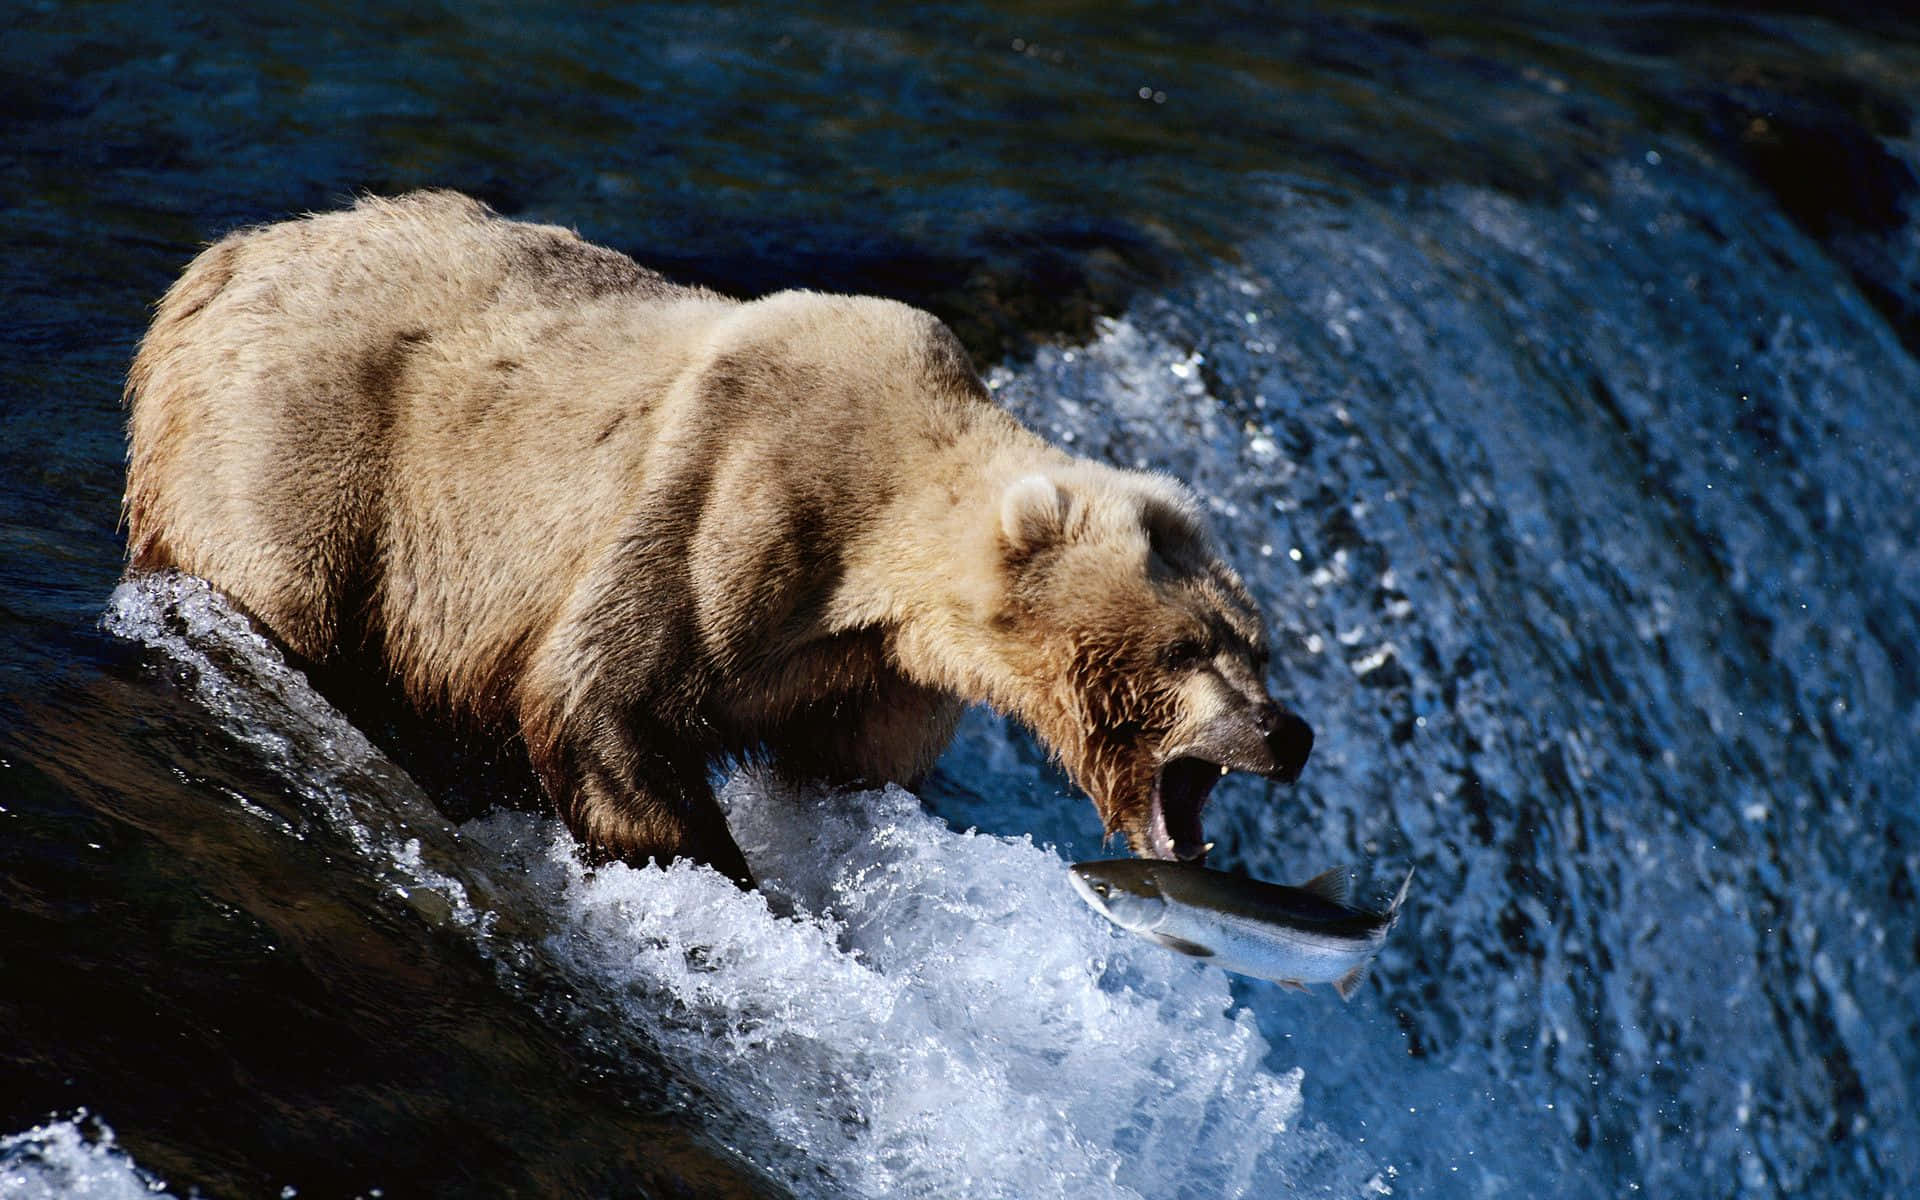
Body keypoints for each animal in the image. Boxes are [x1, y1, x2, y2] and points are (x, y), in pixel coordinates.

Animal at [127, 192, 1313, 883]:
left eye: (1257, 643)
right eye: (1187, 647)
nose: (1286, 733)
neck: (882, 565)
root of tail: (220, 258)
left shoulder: (872, 675)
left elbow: (848, 771)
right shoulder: (738, 504)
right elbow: (600, 694)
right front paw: (727, 873)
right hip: (306, 440)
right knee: (285, 590)